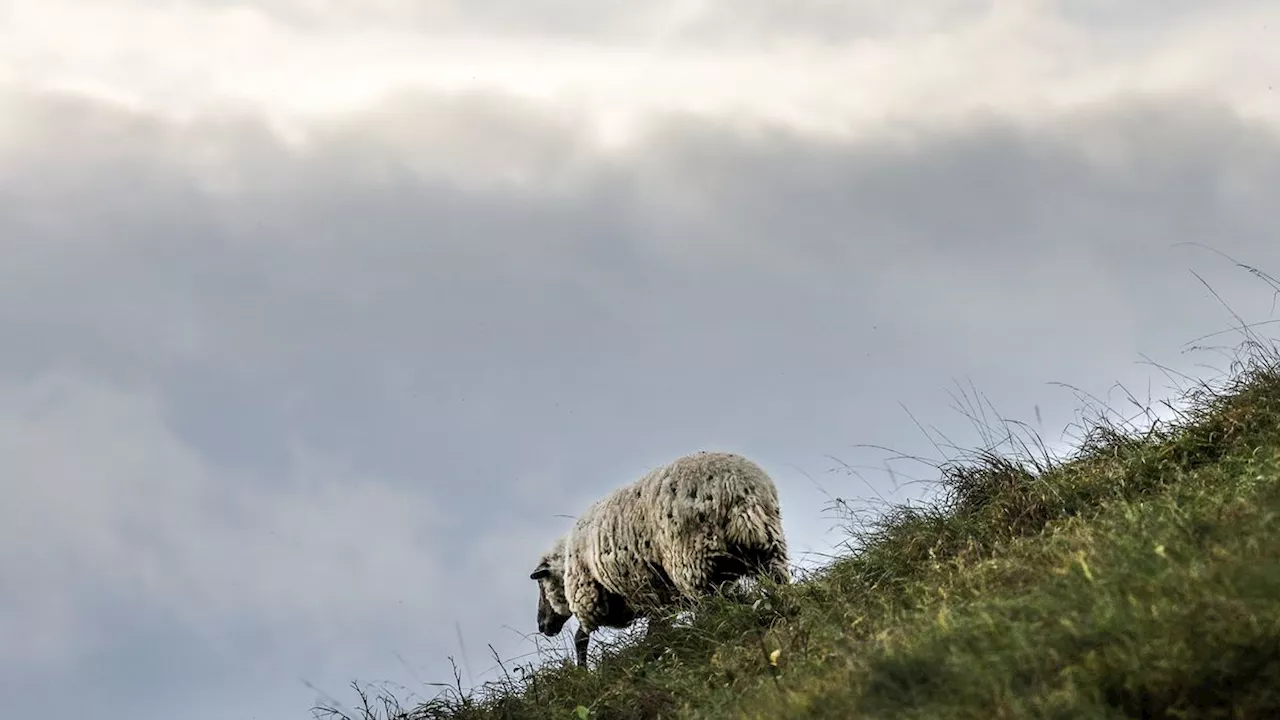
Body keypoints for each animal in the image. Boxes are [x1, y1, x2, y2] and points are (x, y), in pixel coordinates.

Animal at [524, 448, 783, 666]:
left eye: (541, 583)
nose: (542, 626)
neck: (567, 561)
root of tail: (736, 486)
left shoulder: (592, 599)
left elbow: (581, 637)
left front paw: (583, 671)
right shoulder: (656, 598)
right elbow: (657, 629)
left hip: (692, 561)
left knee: (717, 604)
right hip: (769, 547)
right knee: (774, 585)